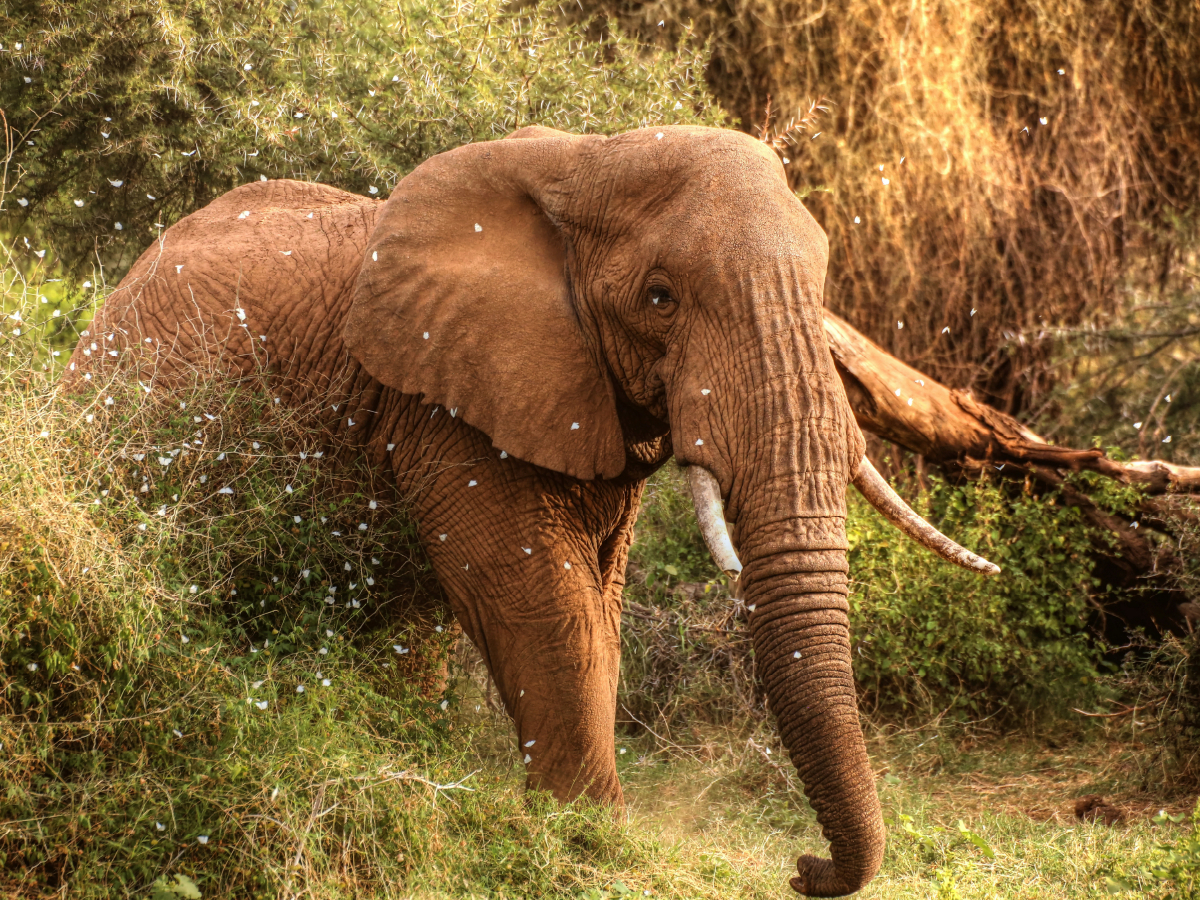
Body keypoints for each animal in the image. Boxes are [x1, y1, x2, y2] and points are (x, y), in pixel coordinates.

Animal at [70, 123, 998, 897]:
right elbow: (545, 603)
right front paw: (588, 835)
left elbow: (601, 605)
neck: (586, 160)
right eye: (660, 297)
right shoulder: (448, 398)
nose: (802, 869)